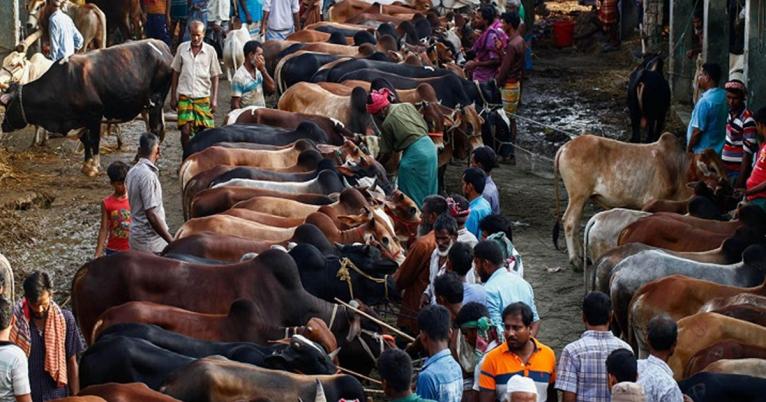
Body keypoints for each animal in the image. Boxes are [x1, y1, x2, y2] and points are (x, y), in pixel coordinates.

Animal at [1, 39, 172, 176]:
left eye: (8, 105)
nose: (3, 126)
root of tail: (161, 45)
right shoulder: (80, 120)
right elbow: (85, 140)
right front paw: (86, 165)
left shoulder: (94, 115)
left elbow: (94, 140)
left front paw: (94, 167)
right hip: (146, 105)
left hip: (155, 101)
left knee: (156, 128)